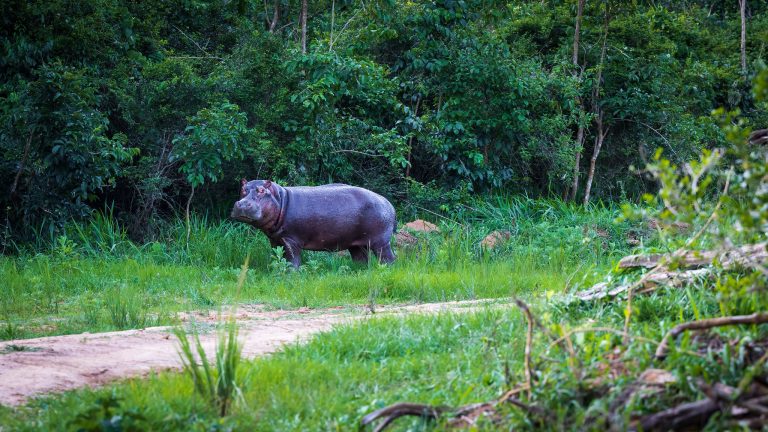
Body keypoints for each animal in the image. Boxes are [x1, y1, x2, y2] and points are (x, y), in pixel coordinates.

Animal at [231, 179, 397, 267]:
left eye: (261, 190)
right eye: (243, 189)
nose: (242, 204)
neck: (281, 198)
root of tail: (388, 202)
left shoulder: (291, 240)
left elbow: (293, 259)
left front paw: (291, 274)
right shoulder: (275, 240)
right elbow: (278, 256)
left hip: (380, 242)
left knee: (388, 258)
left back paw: (386, 269)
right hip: (355, 244)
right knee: (361, 259)